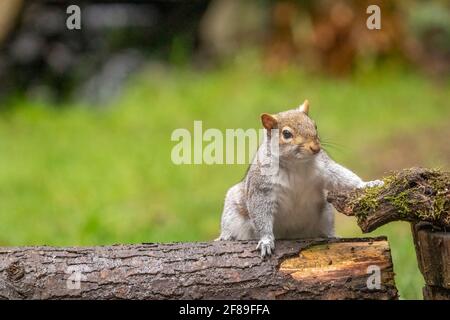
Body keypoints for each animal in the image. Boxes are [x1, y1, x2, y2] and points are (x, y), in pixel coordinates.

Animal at [218, 100, 384, 258]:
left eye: (315, 125)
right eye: (286, 134)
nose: (316, 148)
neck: (296, 164)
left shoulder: (325, 168)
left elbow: (343, 178)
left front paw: (368, 184)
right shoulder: (261, 187)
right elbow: (261, 214)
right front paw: (266, 241)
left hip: (326, 214)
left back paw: (331, 235)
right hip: (233, 212)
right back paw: (226, 237)